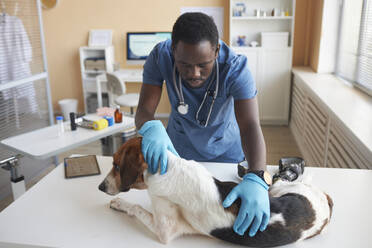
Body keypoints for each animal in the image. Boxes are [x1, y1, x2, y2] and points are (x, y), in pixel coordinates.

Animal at [97, 137, 332, 247]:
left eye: (116, 165)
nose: (100, 187)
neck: (169, 168)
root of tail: (325, 202)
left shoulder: (165, 230)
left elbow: (136, 206)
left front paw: (119, 203)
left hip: (281, 187)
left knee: (280, 178)